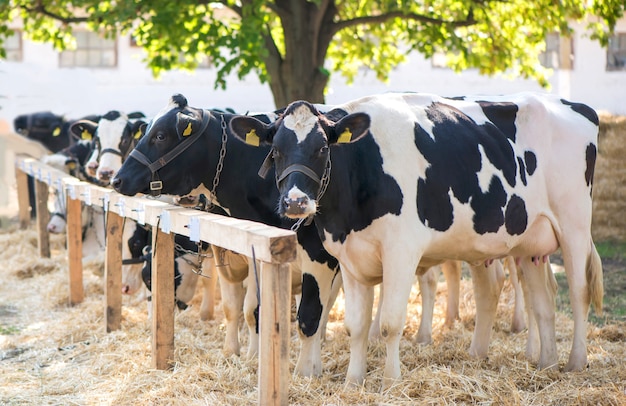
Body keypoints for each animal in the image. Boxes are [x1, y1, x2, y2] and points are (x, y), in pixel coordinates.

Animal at [230, 92, 604, 386]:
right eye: (275, 151)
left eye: (322, 147)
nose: (295, 202)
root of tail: (575, 105)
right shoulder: (348, 257)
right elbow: (356, 326)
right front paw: (353, 382)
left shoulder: (401, 250)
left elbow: (390, 323)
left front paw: (390, 381)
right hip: (530, 242)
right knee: (541, 300)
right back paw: (546, 363)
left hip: (573, 225)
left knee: (579, 292)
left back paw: (576, 362)